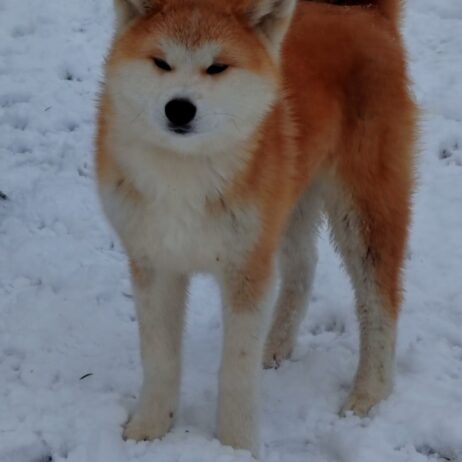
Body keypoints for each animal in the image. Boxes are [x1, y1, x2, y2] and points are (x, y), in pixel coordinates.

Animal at [95, 0, 416, 454]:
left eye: (217, 67)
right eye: (161, 62)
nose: (179, 108)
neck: (183, 177)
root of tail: (366, 14)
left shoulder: (246, 268)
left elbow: (236, 371)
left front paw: (234, 445)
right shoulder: (155, 262)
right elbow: (159, 359)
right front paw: (150, 428)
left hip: (363, 209)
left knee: (380, 299)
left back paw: (370, 392)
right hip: (289, 204)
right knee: (304, 266)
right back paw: (277, 343)